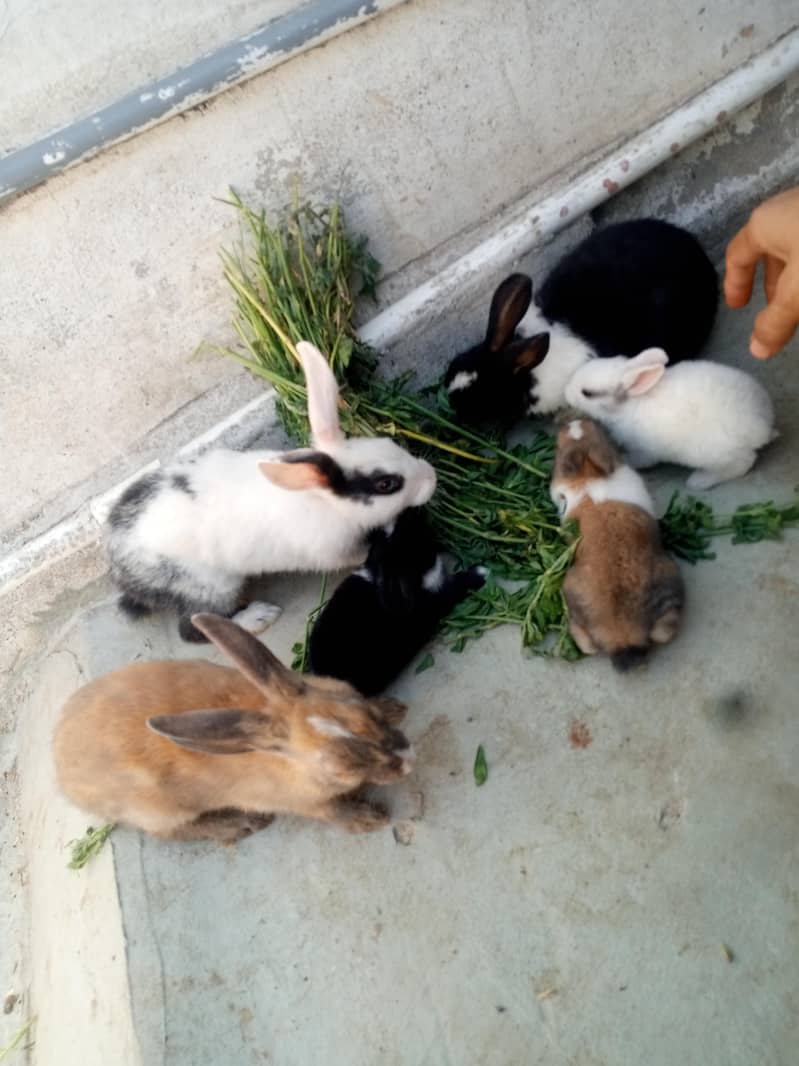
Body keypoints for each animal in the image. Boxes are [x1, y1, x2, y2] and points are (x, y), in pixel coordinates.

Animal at [53, 613, 415, 842]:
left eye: (362, 707)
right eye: (344, 768)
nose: (408, 760)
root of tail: (62, 774)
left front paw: (394, 708)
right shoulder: (305, 803)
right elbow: (333, 812)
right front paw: (370, 820)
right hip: (158, 809)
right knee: (169, 832)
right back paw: (241, 825)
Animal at [107, 341, 437, 642]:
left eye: (389, 443)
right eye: (387, 484)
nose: (431, 477)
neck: (325, 502)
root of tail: (119, 566)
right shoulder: (335, 551)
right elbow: (358, 555)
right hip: (210, 585)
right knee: (193, 628)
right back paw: (259, 617)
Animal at [551, 418, 684, 671]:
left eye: (558, 448)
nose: (575, 421)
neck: (589, 475)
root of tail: (623, 635)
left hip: (569, 587)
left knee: (587, 644)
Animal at [563, 347, 778, 489]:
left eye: (587, 393)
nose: (565, 392)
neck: (631, 404)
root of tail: (763, 426)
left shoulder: (644, 451)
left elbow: (640, 461)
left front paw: (624, 458)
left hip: (717, 454)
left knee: (743, 464)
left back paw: (698, 481)